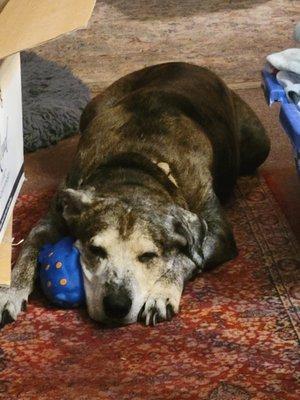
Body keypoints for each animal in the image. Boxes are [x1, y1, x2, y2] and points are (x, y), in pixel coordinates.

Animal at [0, 61, 270, 324]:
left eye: (148, 256)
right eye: (95, 250)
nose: (116, 306)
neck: (133, 163)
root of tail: (190, 65)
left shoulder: (216, 231)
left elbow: (187, 257)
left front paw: (162, 293)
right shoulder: (56, 213)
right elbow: (30, 246)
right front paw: (10, 291)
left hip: (259, 144)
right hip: (92, 107)